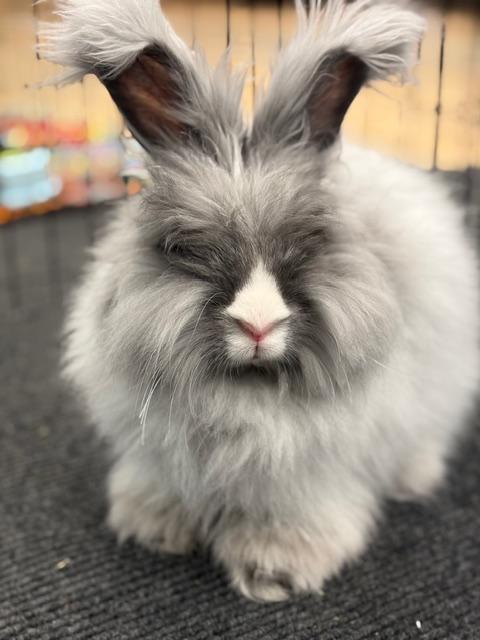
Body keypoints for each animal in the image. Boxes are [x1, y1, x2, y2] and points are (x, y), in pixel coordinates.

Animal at [40, 0, 479, 602]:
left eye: (311, 243)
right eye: (183, 248)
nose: (257, 325)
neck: (244, 391)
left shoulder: (307, 478)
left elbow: (292, 519)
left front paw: (273, 571)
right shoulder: (156, 453)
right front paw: (155, 529)